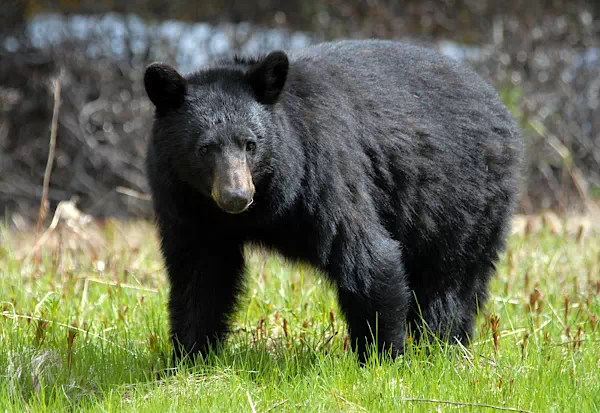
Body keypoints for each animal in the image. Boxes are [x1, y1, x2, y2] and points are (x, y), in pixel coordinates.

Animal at [143, 38, 524, 360]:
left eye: (251, 144)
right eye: (205, 148)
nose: (236, 196)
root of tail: (499, 104)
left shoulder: (322, 174)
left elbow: (367, 256)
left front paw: (381, 356)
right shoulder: (186, 205)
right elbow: (201, 275)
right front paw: (190, 357)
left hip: (463, 195)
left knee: (449, 279)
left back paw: (440, 346)